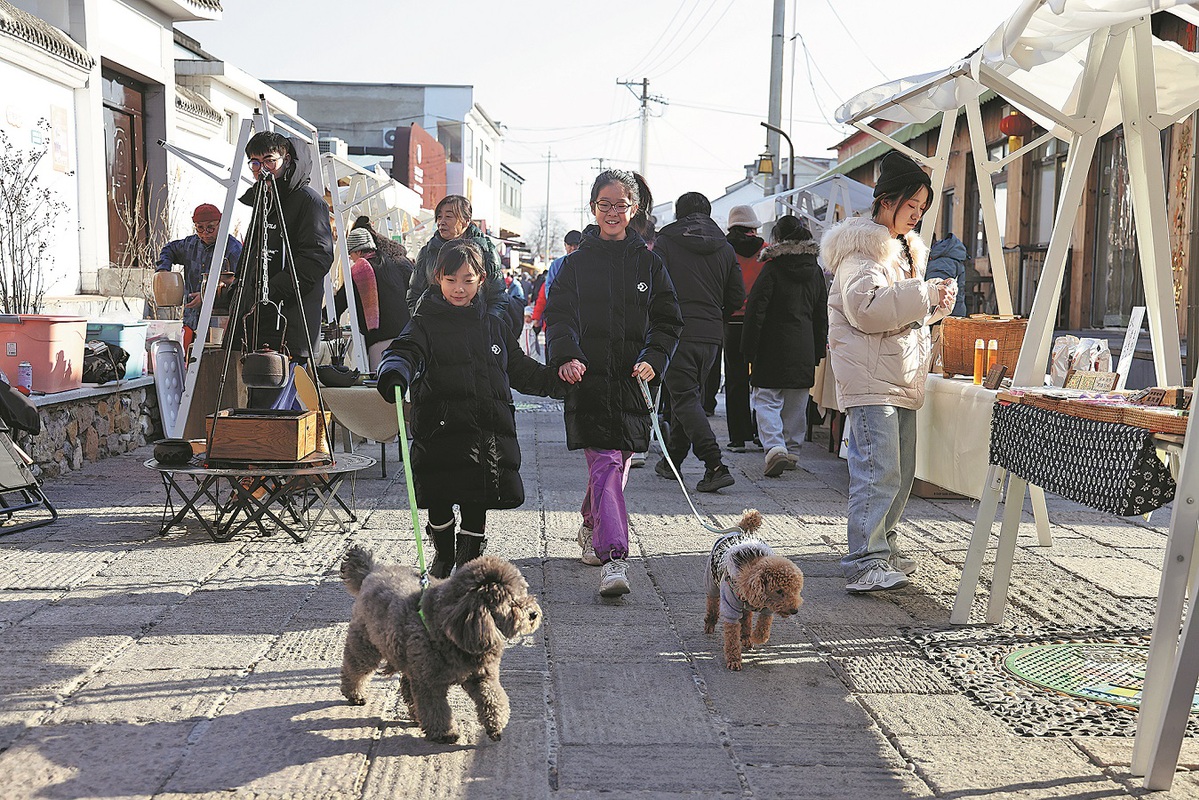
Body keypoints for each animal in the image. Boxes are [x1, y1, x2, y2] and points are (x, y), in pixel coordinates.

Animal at [339, 546, 541, 743]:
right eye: (510, 602)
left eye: (523, 593)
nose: (533, 614)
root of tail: (372, 571)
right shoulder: (429, 684)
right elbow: (435, 709)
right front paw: (445, 733)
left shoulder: (481, 676)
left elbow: (492, 698)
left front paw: (495, 726)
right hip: (366, 644)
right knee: (355, 667)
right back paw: (354, 694)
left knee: (406, 685)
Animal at [703, 509, 804, 670]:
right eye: (779, 591)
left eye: (795, 590)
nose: (794, 610)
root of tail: (740, 531)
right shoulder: (731, 609)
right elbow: (732, 637)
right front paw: (734, 660)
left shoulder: (767, 609)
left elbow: (763, 627)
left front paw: (755, 637)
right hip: (711, 581)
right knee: (712, 602)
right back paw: (710, 623)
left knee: (747, 617)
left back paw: (746, 637)